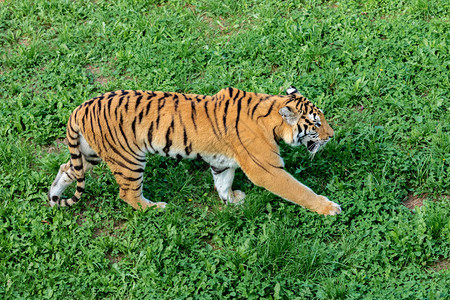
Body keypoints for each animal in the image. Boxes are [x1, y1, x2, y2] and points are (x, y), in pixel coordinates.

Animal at [48, 86, 342, 216]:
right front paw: (329, 207)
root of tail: (81, 107)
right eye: (316, 124)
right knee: (127, 194)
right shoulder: (267, 170)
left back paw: (52, 197)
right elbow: (300, 191)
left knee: (66, 169)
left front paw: (232, 200)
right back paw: (156, 208)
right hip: (128, 160)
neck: (269, 114)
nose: (332, 135)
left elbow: (222, 183)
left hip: (90, 154)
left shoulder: (222, 163)